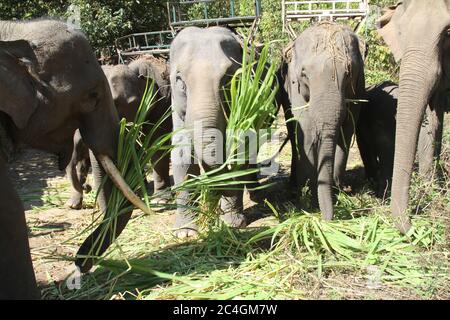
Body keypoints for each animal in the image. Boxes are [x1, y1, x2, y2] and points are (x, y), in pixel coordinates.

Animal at [170, 26, 248, 238]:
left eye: (229, 78)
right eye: (180, 81)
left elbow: (242, 149)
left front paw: (232, 224)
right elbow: (181, 154)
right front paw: (186, 233)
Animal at [278, 21, 366, 220]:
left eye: (349, 72)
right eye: (304, 74)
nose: (327, 220)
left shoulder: (359, 87)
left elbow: (347, 131)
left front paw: (339, 191)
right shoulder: (294, 88)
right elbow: (306, 131)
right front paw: (309, 199)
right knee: (293, 134)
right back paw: (294, 187)